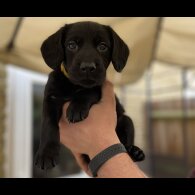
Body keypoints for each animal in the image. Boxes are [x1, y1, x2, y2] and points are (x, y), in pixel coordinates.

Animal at [35, 21, 145, 170]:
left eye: (102, 46)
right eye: (71, 45)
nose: (88, 67)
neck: (74, 86)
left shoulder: (98, 86)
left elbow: (89, 91)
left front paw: (76, 108)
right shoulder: (50, 99)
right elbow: (48, 125)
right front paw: (46, 153)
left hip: (126, 120)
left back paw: (135, 152)